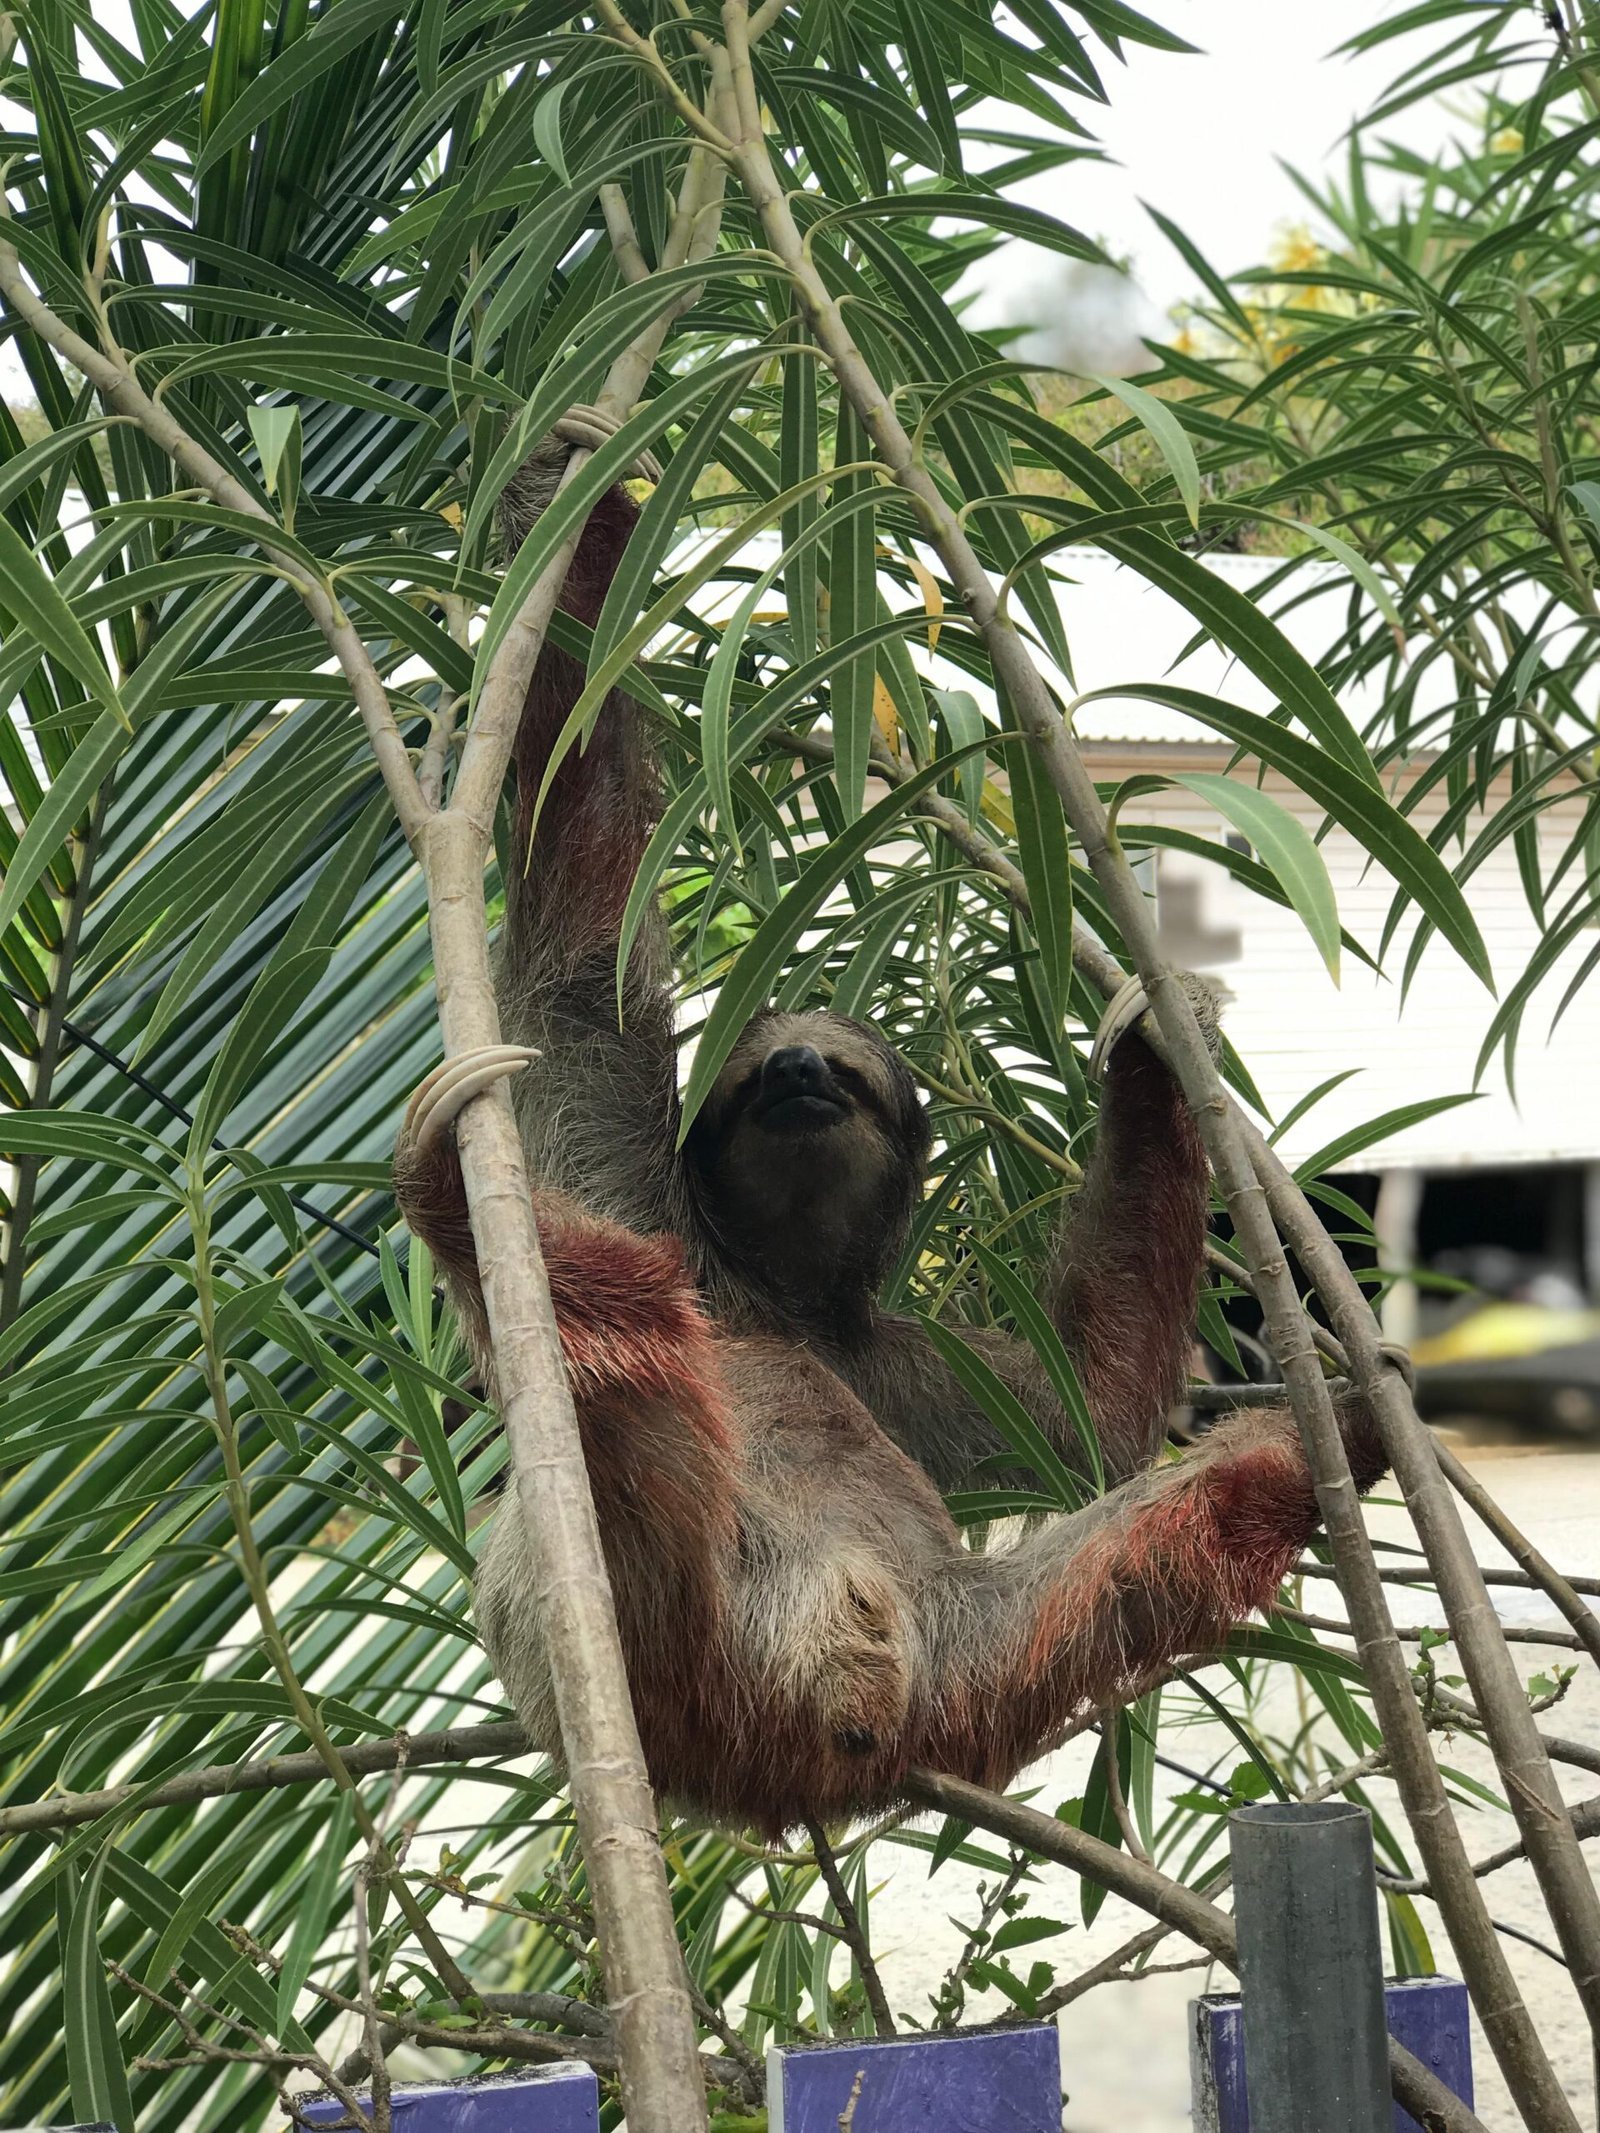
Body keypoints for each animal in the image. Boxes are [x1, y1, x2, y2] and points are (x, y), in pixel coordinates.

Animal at [393, 408, 1390, 1835]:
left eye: (847, 1078)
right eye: (759, 1076)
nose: (804, 1070)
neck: (775, 1295)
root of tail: (782, 1760)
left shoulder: (913, 1368)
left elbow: (1085, 1405)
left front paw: (1150, 1046)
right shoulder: (632, 1176)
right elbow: (586, 939)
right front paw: (578, 501)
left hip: (964, 1656)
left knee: (1117, 1567)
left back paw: (1329, 1437)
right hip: (639, 1651)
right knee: (597, 1439)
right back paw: (502, 1253)